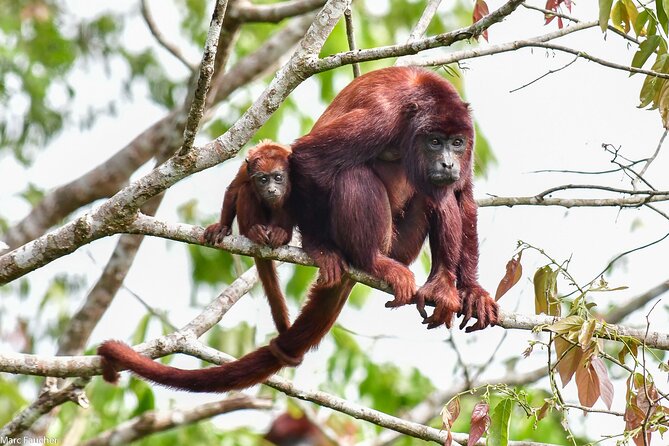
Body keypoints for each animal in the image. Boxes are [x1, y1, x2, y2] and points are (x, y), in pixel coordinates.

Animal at [202, 140, 294, 334]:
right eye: (263, 179)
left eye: (278, 177)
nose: (271, 190)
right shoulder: (246, 169)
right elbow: (234, 189)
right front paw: (222, 227)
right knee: (246, 189)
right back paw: (255, 232)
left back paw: (281, 235)